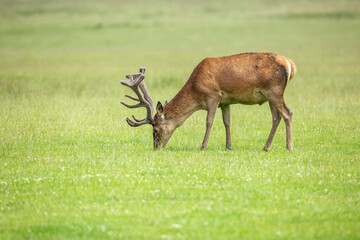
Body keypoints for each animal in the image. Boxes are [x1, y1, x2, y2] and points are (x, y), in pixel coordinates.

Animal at [119, 52, 296, 151]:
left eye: (155, 130)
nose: (156, 147)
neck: (196, 90)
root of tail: (290, 64)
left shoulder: (213, 96)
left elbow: (209, 121)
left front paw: (203, 146)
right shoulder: (225, 102)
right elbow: (227, 122)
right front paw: (228, 146)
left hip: (274, 91)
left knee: (288, 113)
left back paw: (289, 147)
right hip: (269, 96)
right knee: (276, 117)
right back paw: (266, 147)